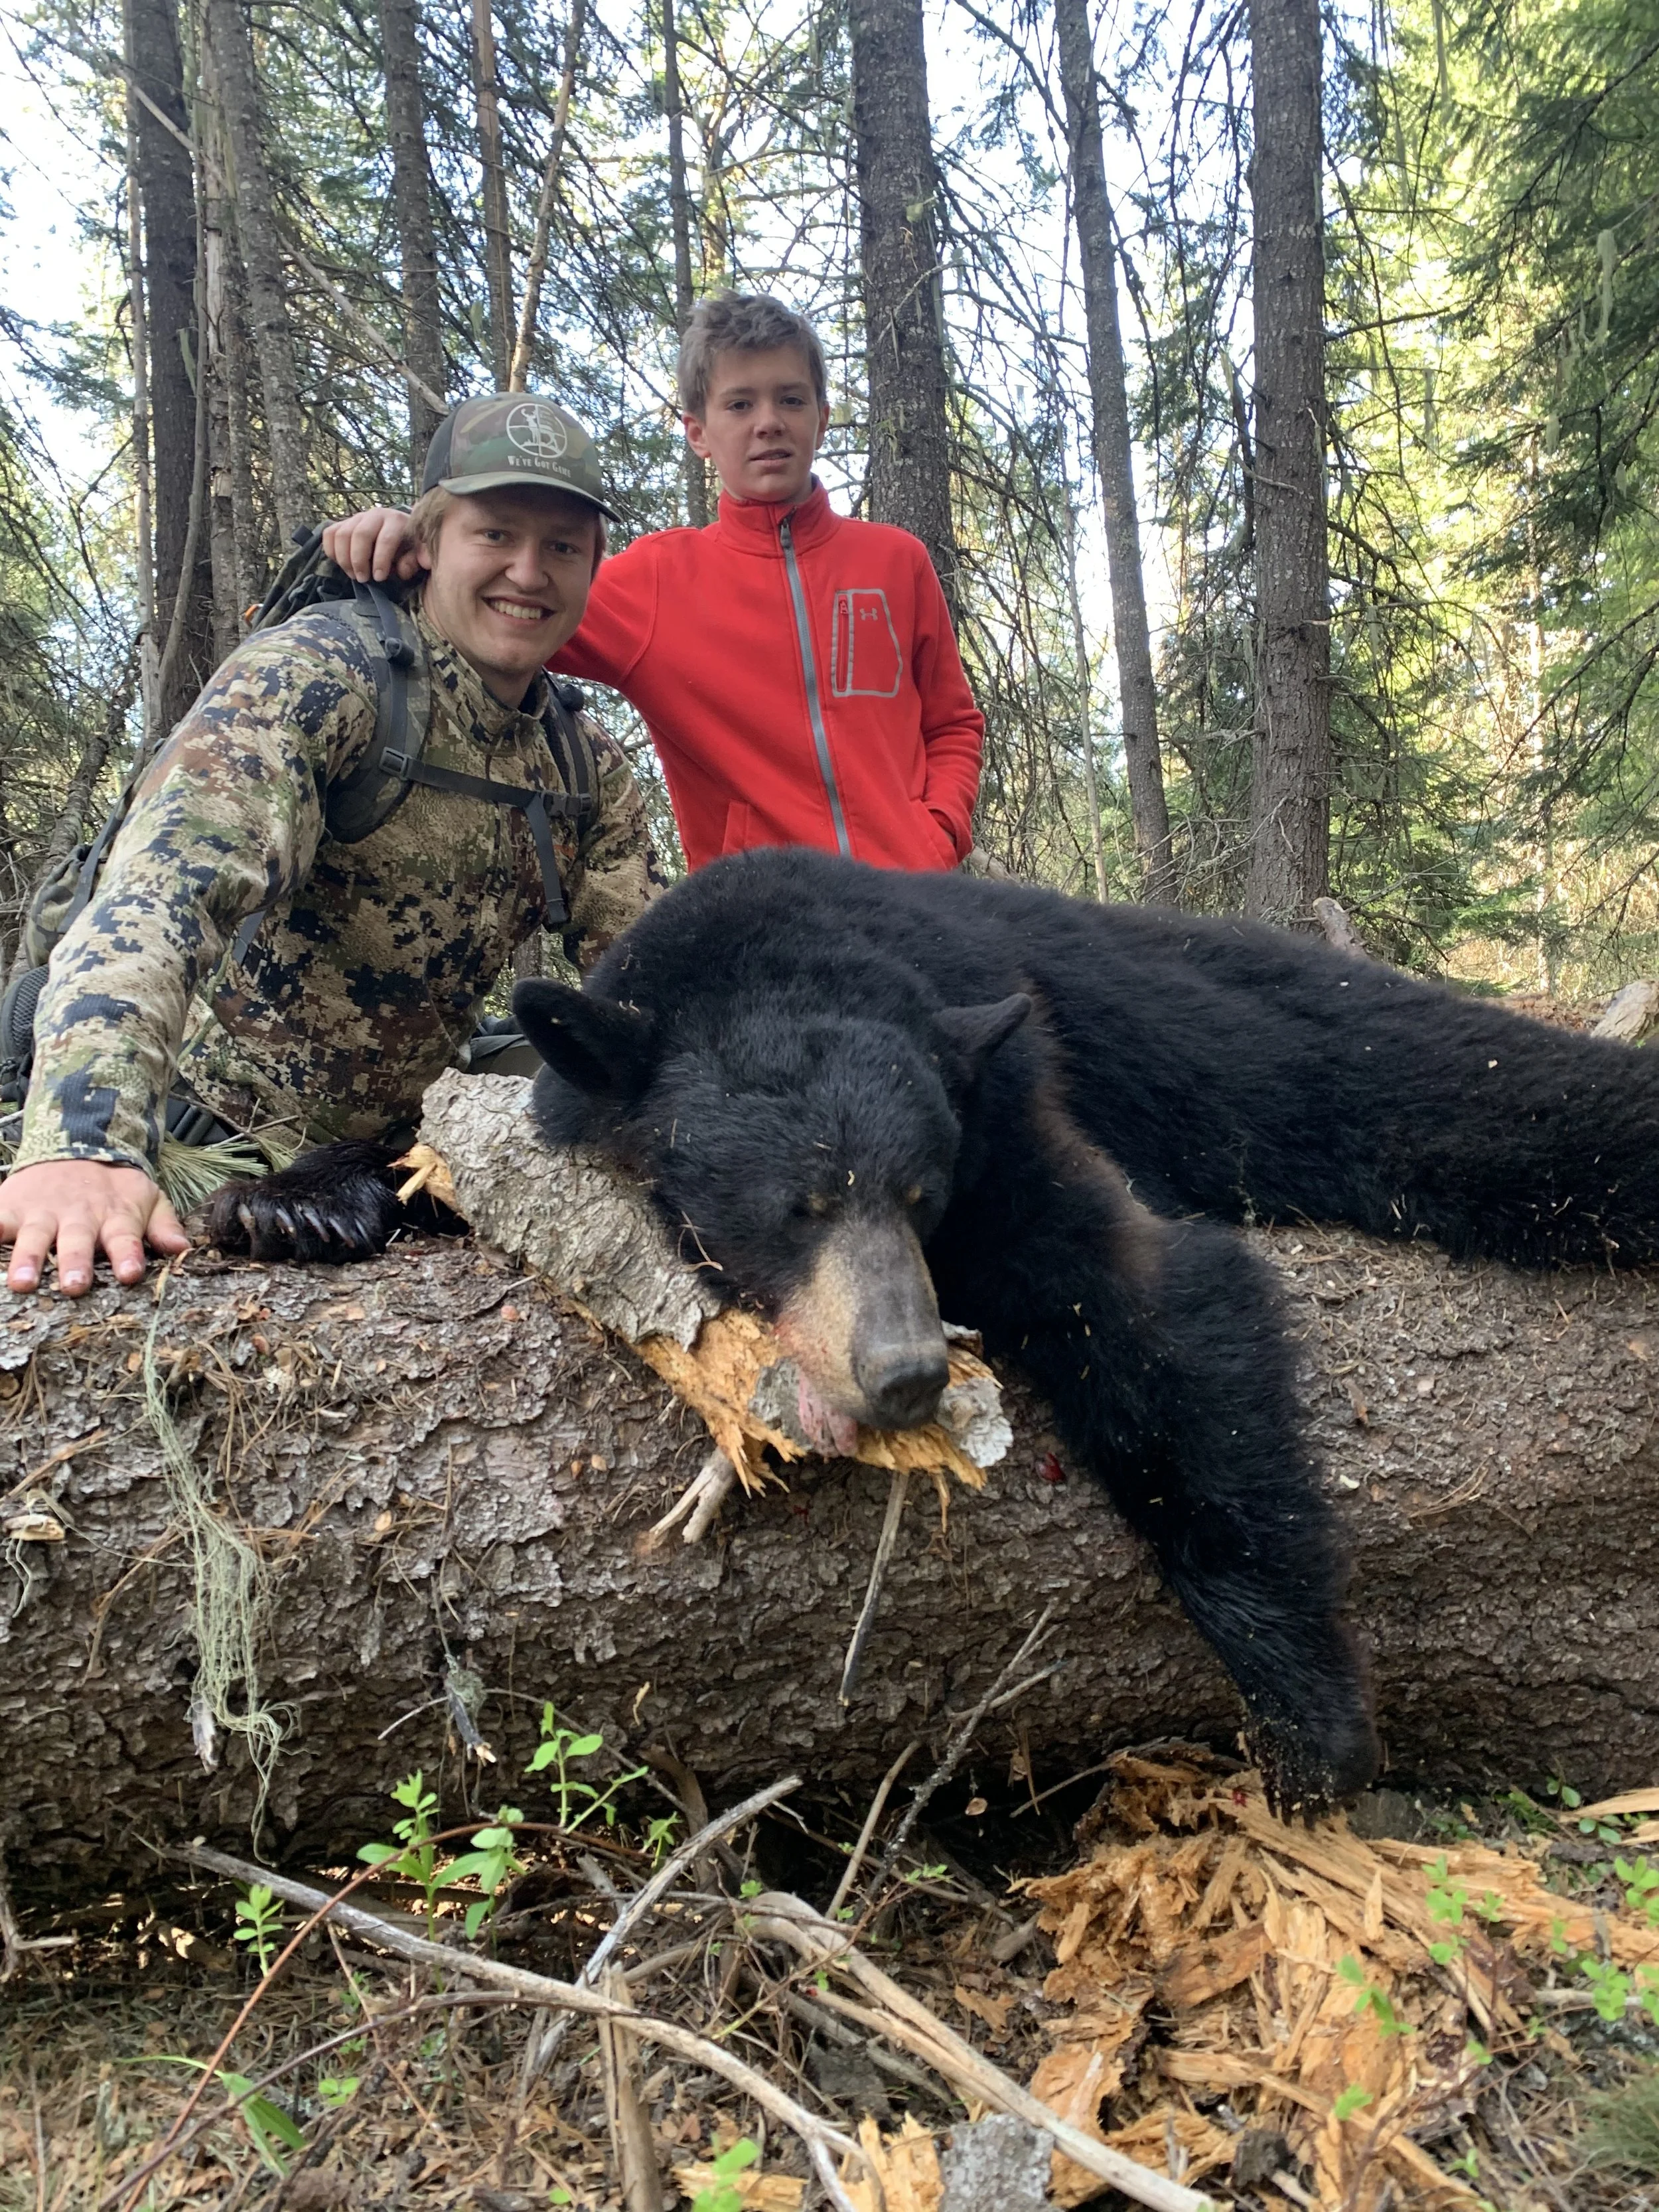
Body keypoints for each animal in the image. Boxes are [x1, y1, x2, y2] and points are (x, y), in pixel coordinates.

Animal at [508, 846, 1659, 1817]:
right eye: (797, 1206)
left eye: (920, 1191)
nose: (905, 1372)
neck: (776, 937)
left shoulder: (1007, 1097)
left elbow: (1143, 1295)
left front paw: (1315, 1718)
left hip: (1269, 1034)